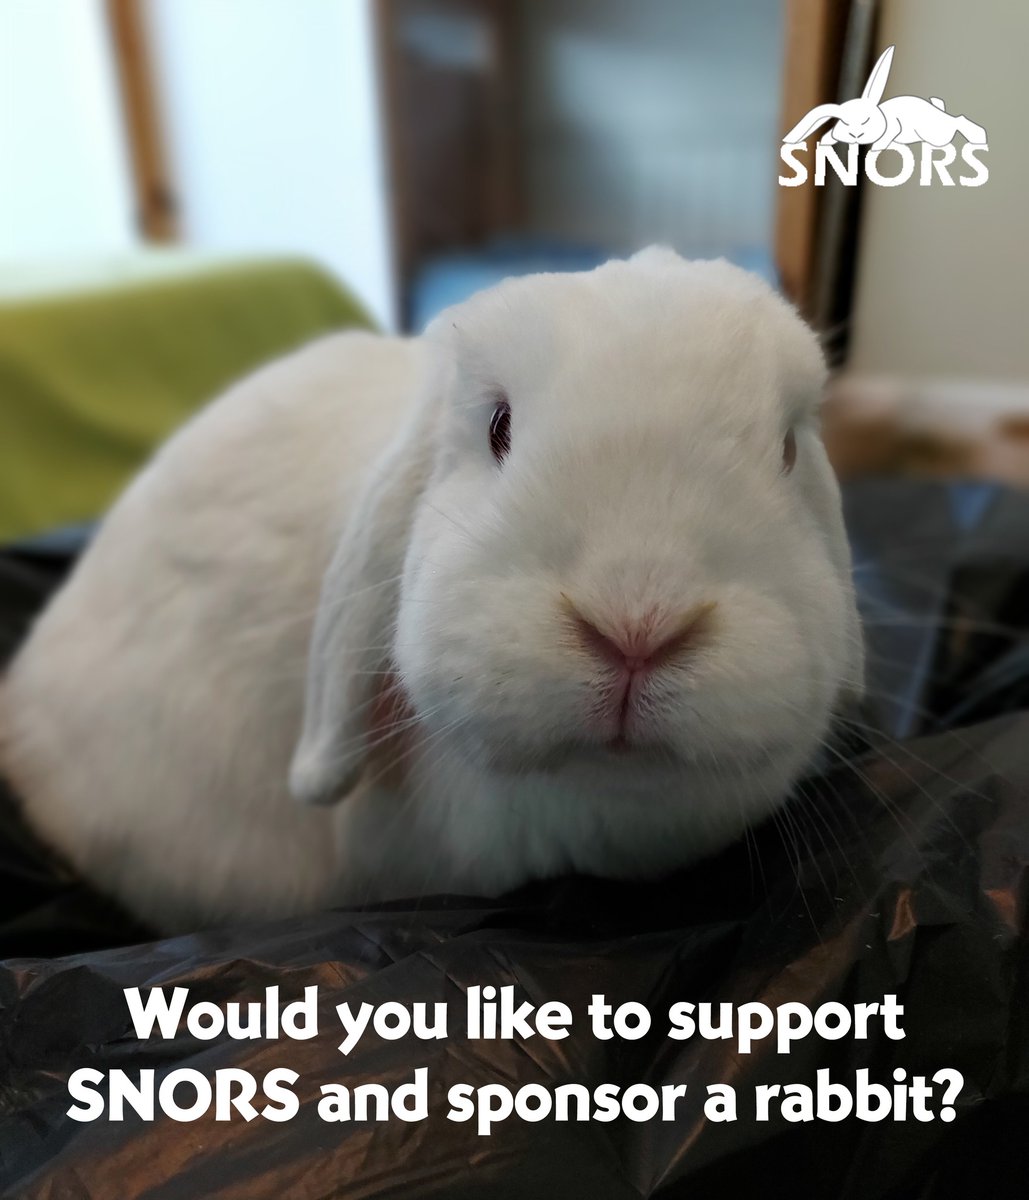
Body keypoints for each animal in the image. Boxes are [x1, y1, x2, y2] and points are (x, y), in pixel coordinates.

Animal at [784, 45, 987, 151]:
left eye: (866, 120)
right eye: (844, 123)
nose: (855, 134)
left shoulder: (894, 127)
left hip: (936, 134)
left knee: (960, 121)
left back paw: (978, 138)